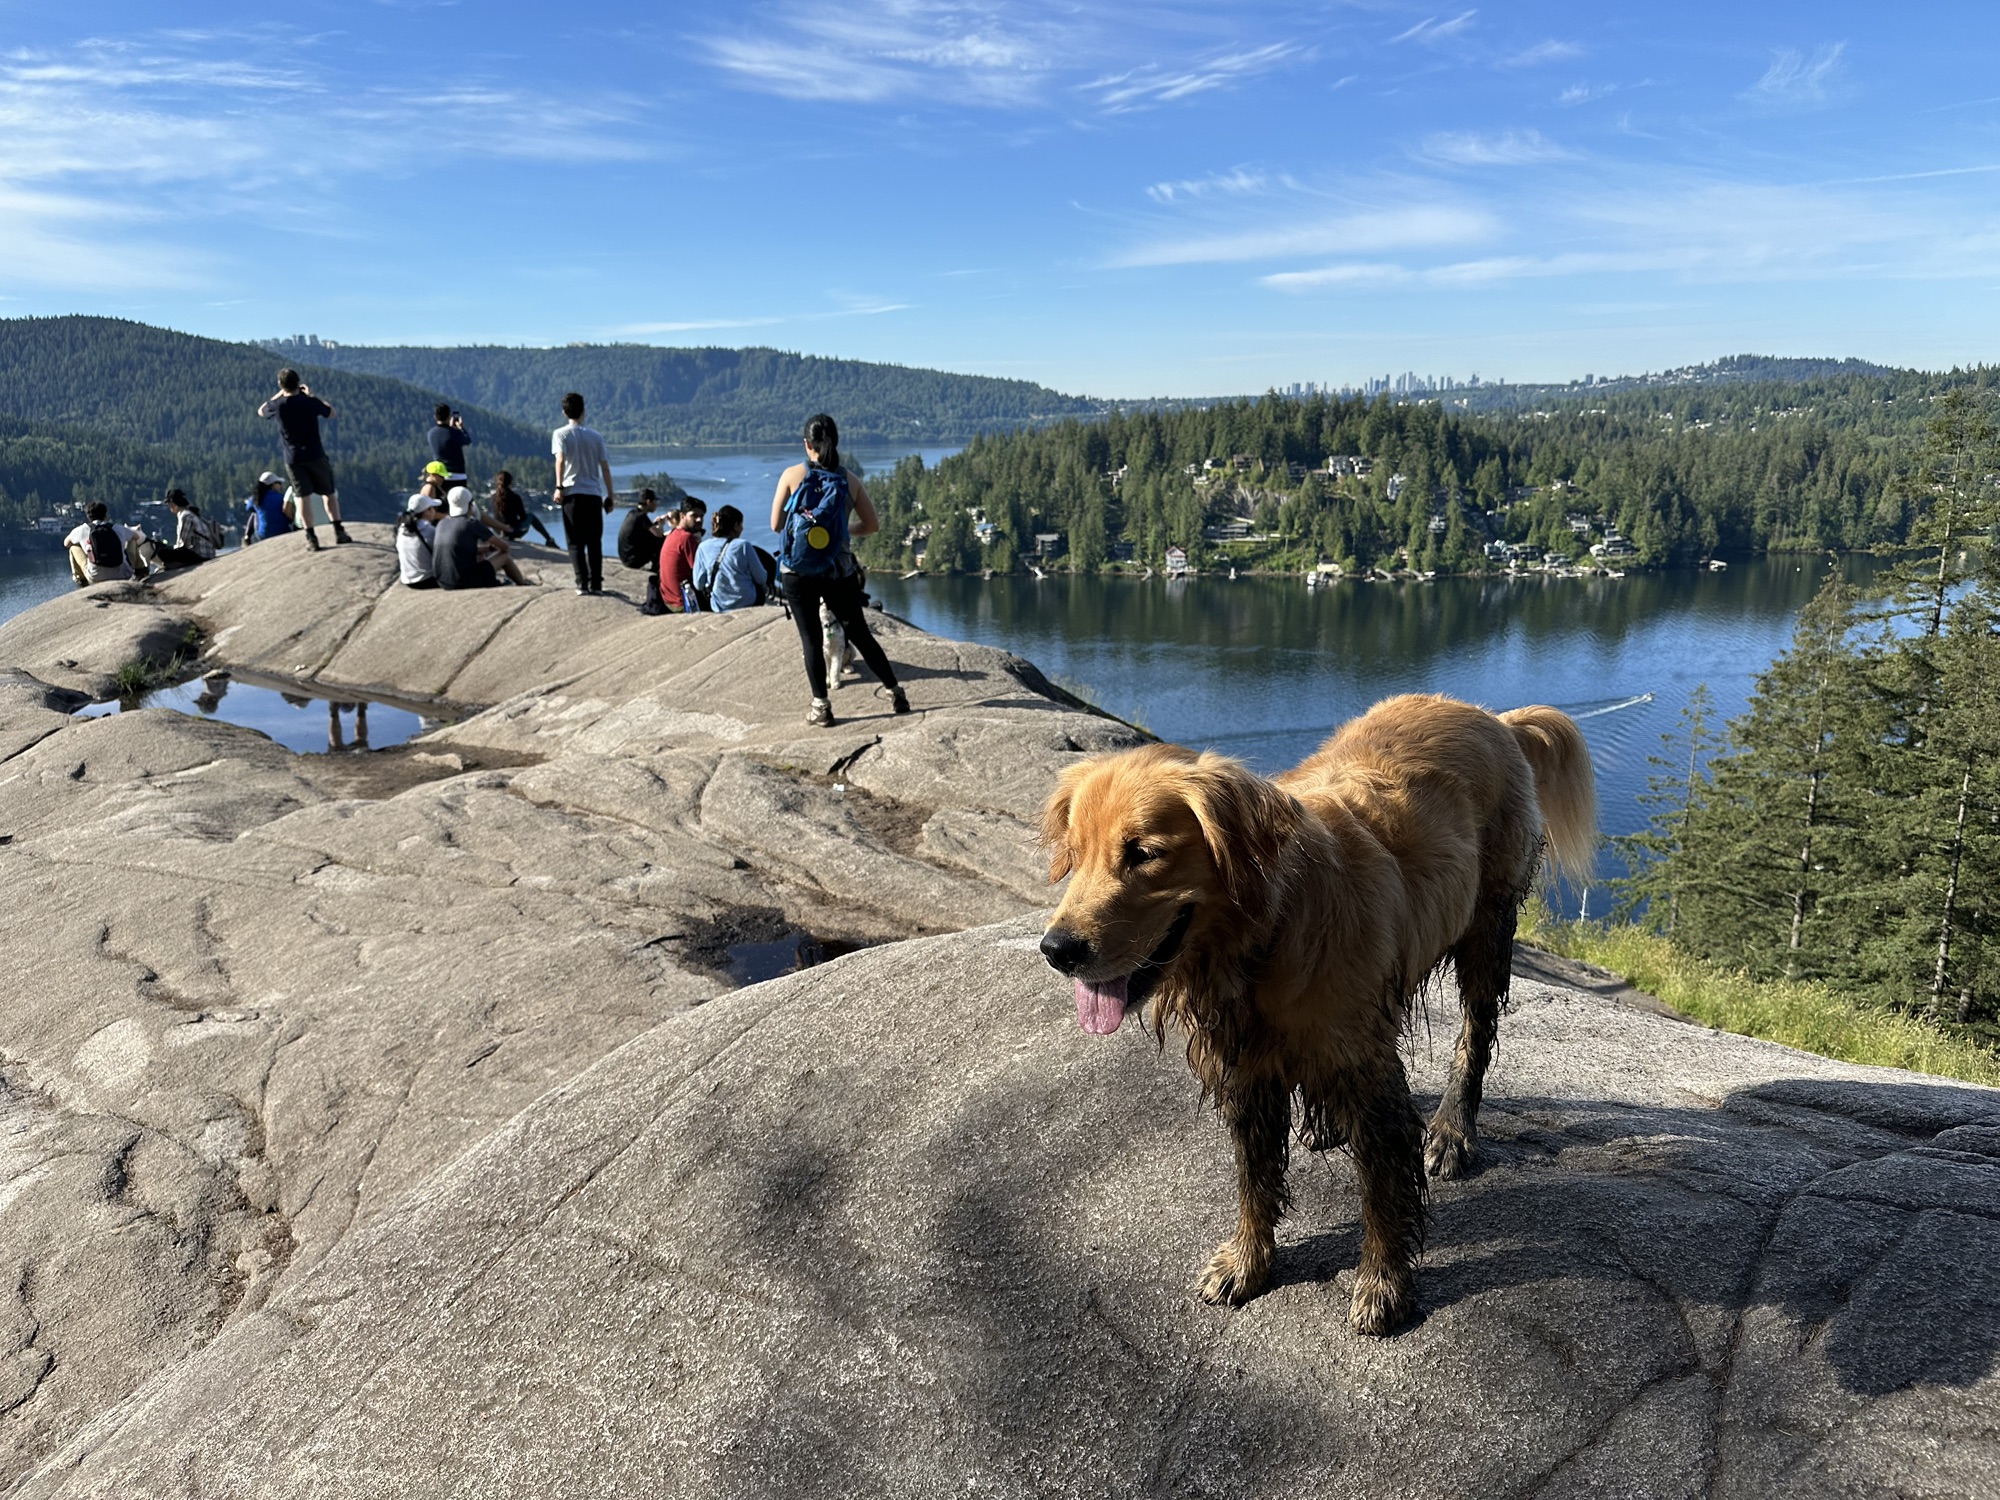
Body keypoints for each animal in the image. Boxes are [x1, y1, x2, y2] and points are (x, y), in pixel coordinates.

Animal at [1040, 696, 1584, 1336]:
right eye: (1075, 856)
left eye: (1144, 854)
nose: (1057, 950)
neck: (1265, 937)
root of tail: (1492, 716)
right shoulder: (1245, 1070)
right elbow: (1255, 1179)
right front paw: (1248, 1264)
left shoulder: (1367, 1067)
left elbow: (1383, 1186)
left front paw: (1383, 1284)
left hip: (1487, 929)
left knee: (1475, 1038)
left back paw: (1453, 1131)